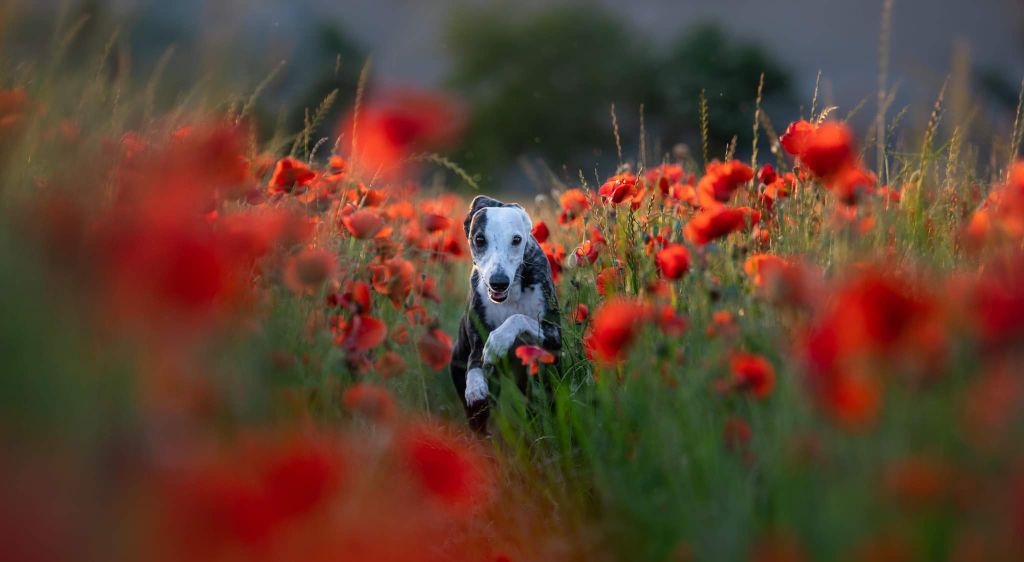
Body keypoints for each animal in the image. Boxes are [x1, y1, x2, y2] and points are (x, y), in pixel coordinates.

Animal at [448, 195, 561, 431]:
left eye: (516, 240)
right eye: (480, 239)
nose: (498, 282)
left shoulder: (554, 334)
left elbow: (517, 318)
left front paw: (497, 342)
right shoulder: (475, 341)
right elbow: (475, 362)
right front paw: (475, 386)